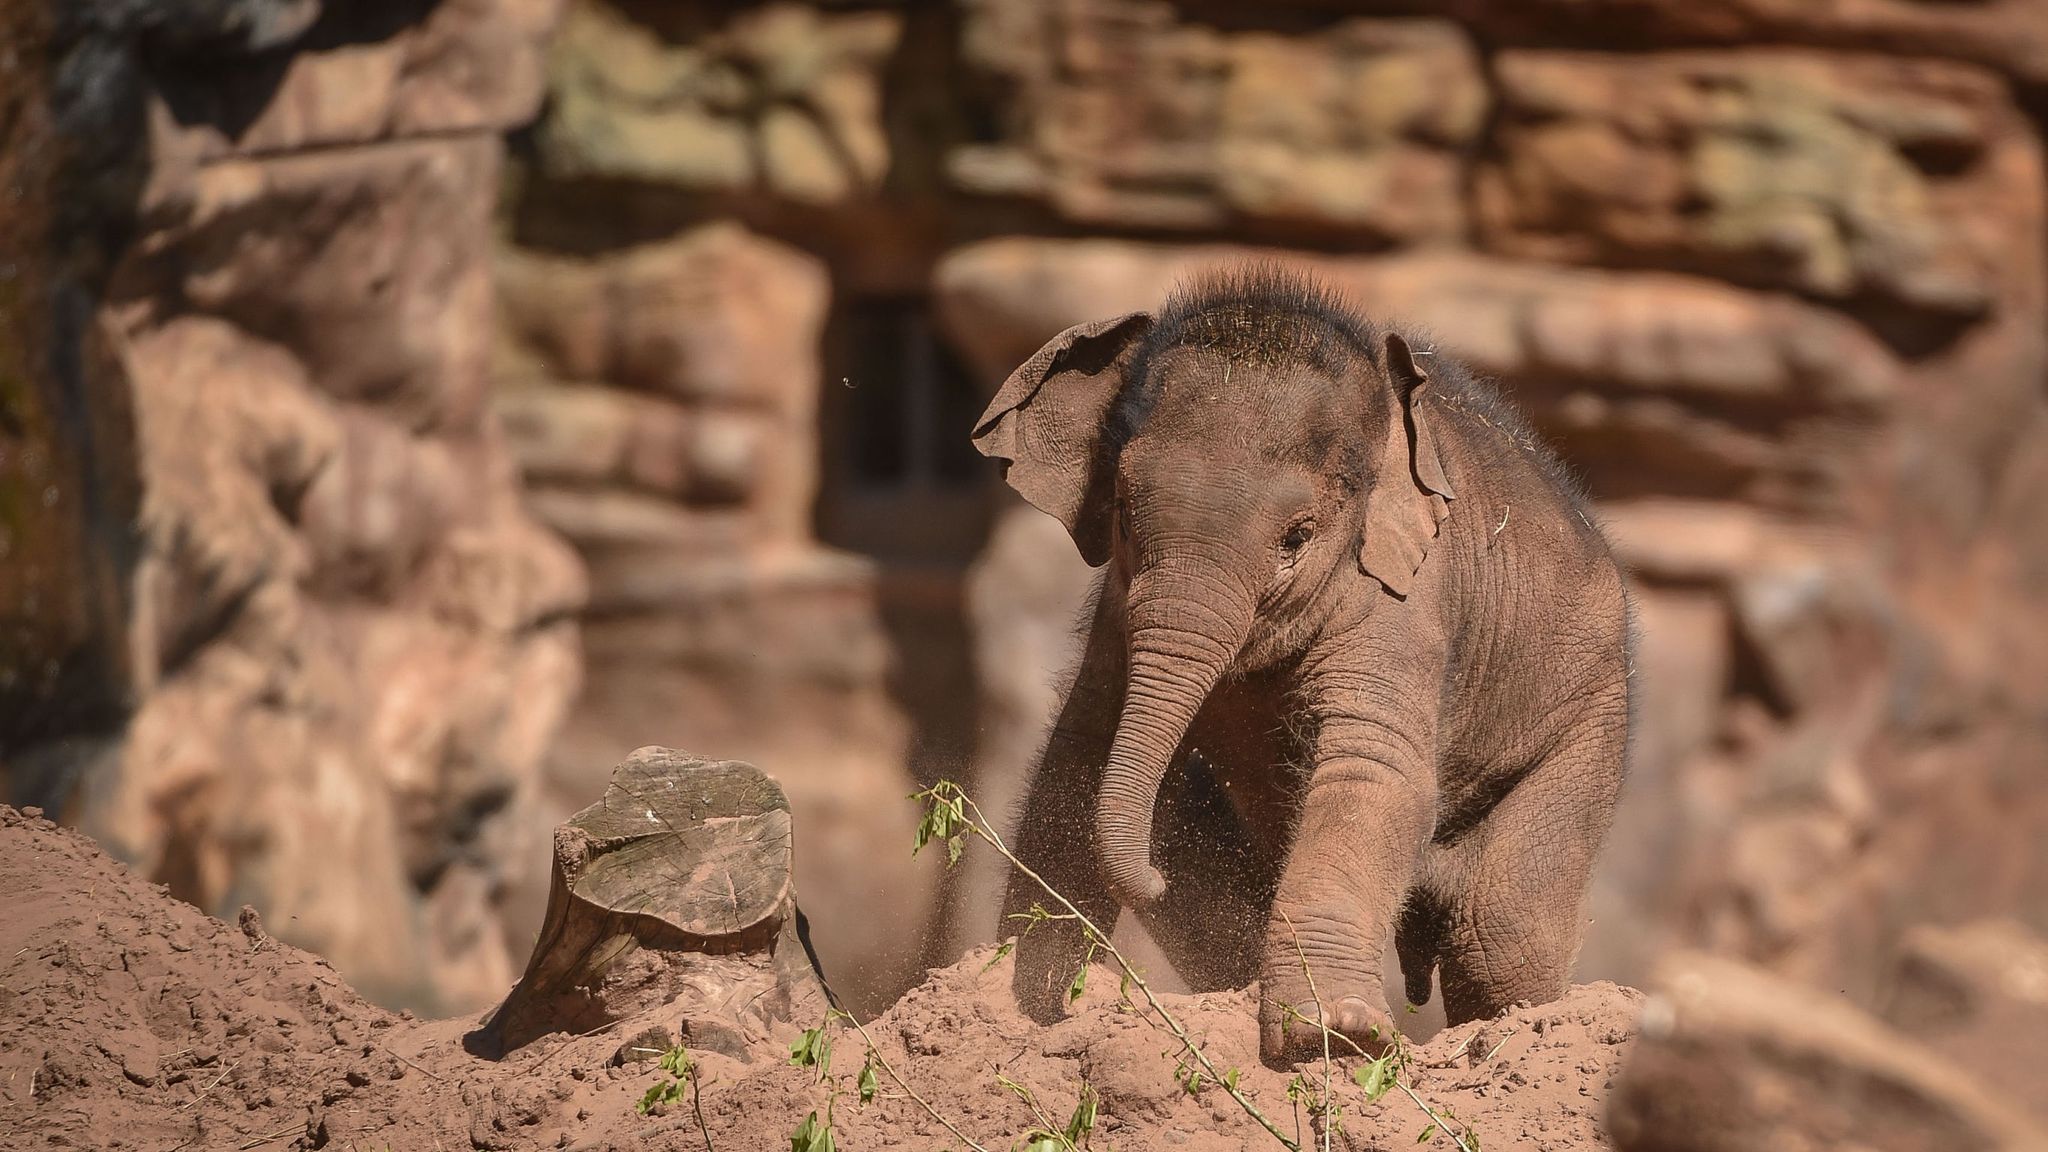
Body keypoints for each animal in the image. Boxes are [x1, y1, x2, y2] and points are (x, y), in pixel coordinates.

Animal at [974, 264, 1630, 1065]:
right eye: (1124, 512)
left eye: (1298, 536)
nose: (1148, 878)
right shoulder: (1116, 611)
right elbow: (1084, 741)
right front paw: (1026, 1009)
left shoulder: (1407, 597)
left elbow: (1373, 768)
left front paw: (1334, 1036)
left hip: (1590, 723)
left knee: (1502, 934)